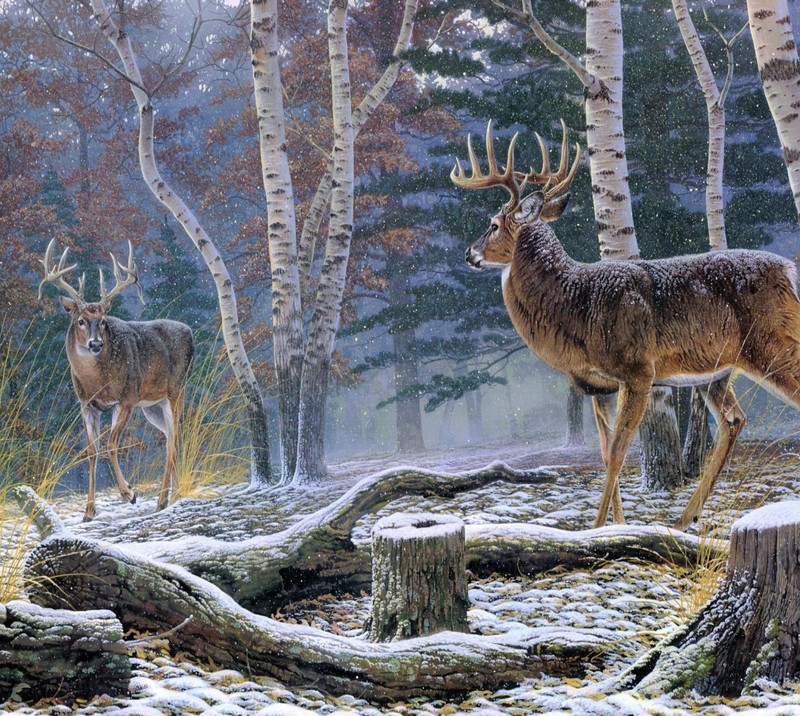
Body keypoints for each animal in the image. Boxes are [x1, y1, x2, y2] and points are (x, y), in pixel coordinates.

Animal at [40, 241, 195, 520]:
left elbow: (111, 444)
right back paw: (174, 497)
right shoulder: (87, 404)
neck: (97, 382)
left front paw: (129, 493)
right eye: (81, 320)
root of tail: (190, 332)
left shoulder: (126, 398)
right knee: (173, 438)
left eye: (102, 321)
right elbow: (92, 451)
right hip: (152, 406)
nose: (96, 344)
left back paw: (161, 501)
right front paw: (89, 511)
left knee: (172, 441)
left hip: (176, 390)